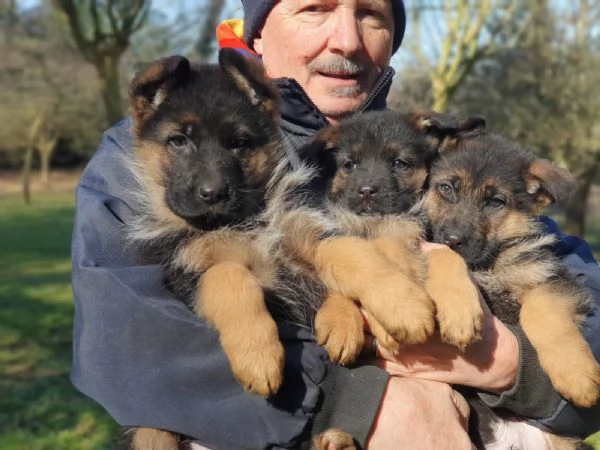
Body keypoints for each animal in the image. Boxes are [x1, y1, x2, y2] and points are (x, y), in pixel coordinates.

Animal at [422, 129, 600, 446]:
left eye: (495, 202)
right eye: (445, 188)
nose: (453, 239)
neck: (485, 264)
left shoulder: (551, 277)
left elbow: (542, 309)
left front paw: (576, 375)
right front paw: (459, 313)